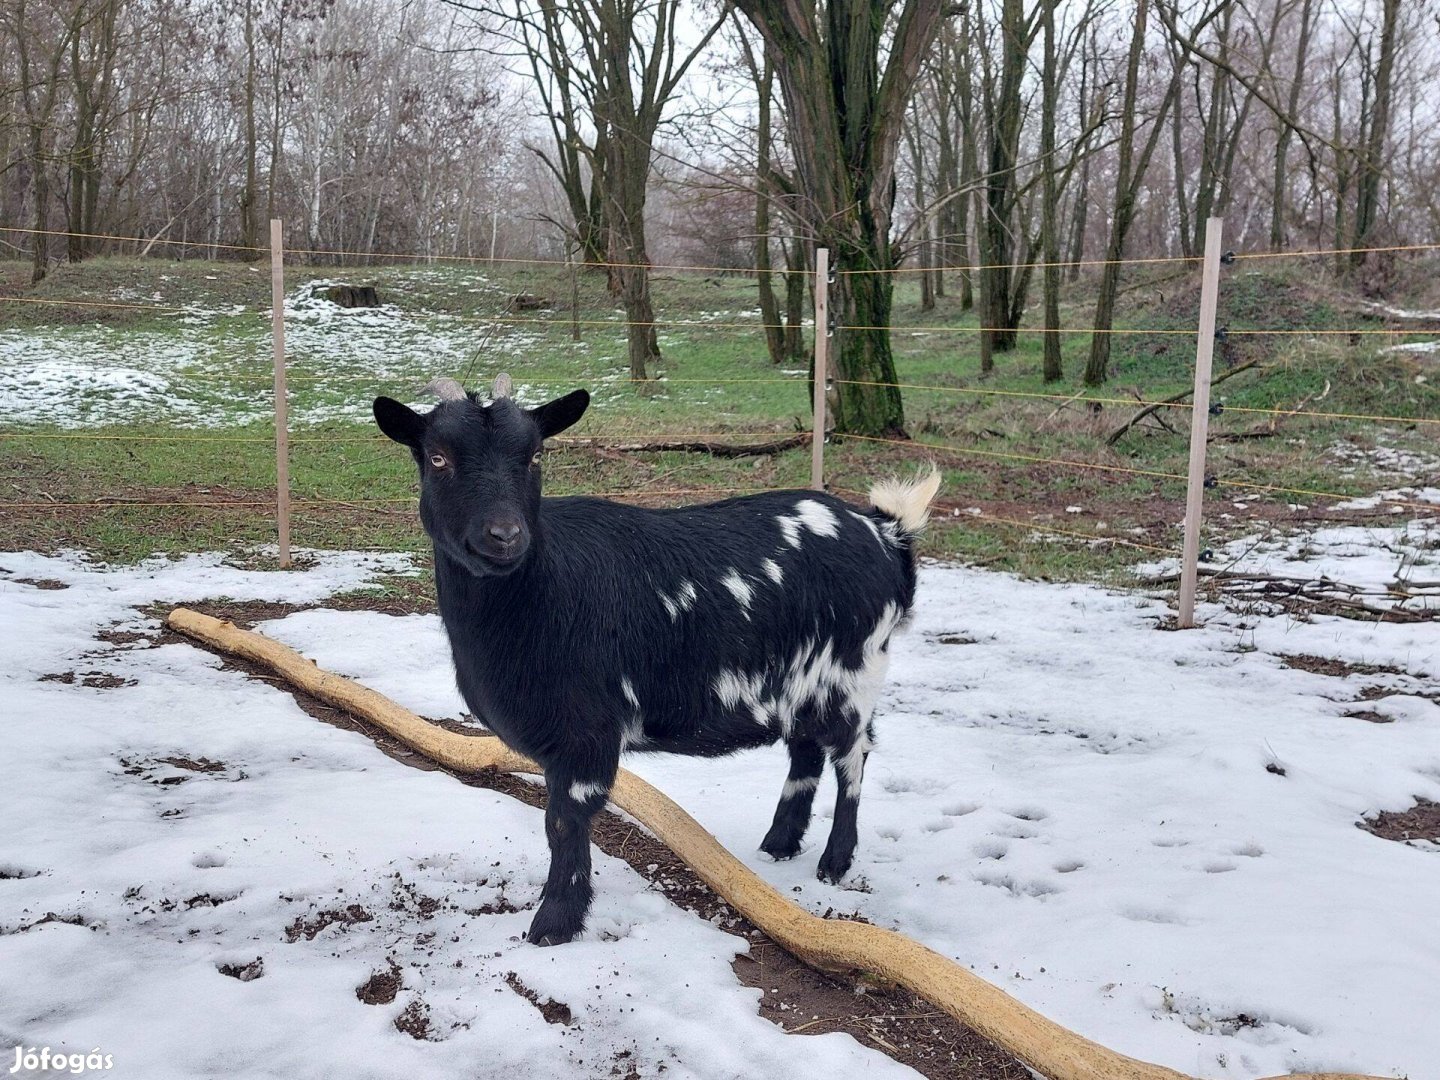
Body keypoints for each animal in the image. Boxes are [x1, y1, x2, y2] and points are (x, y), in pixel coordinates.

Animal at [374, 374, 944, 944]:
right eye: (438, 457)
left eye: (535, 454)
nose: (505, 535)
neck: (542, 590)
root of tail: (885, 533)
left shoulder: (587, 734)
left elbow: (563, 822)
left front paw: (554, 924)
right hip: (800, 683)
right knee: (806, 751)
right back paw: (778, 844)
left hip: (854, 673)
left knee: (853, 754)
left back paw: (835, 861)